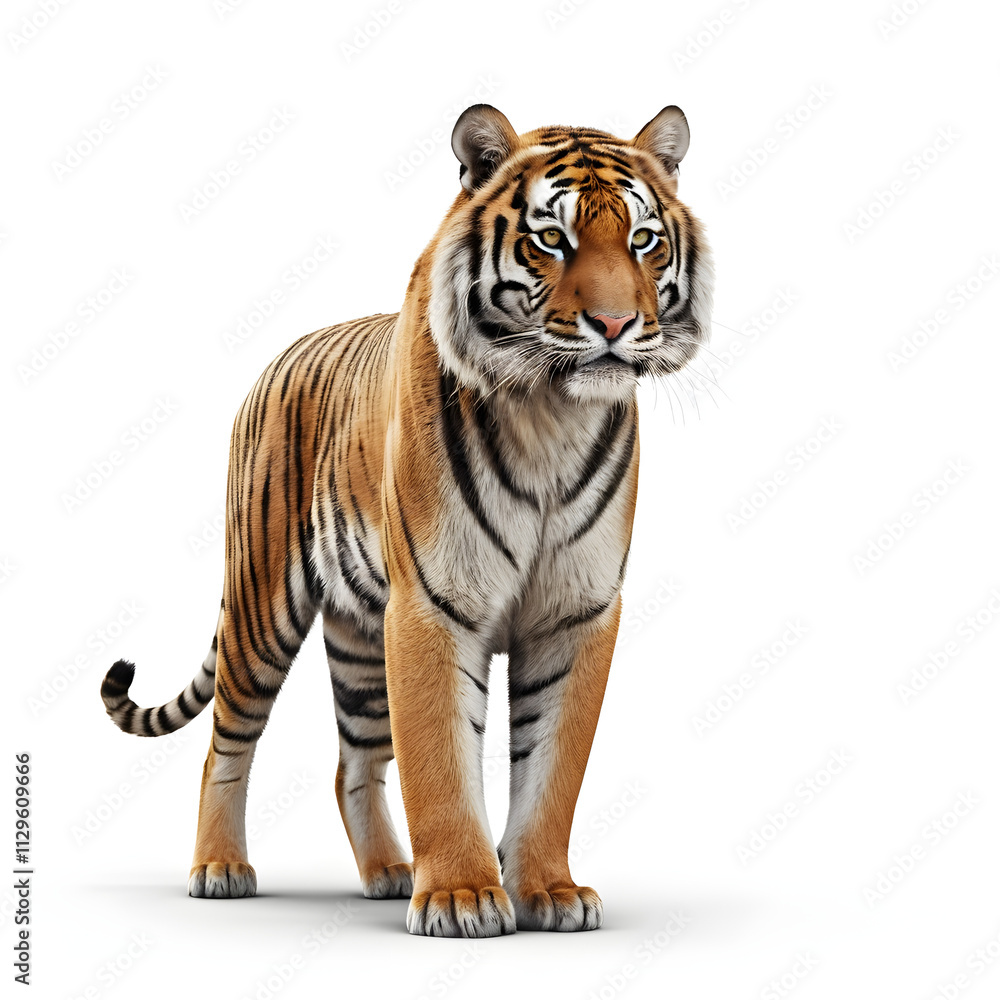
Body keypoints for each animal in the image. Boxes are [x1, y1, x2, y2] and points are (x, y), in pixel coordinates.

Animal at [101, 103, 713, 938]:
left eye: (644, 240)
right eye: (552, 239)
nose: (616, 324)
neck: (551, 414)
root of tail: (280, 357)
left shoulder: (576, 612)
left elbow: (552, 769)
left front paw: (548, 890)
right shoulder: (432, 607)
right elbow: (441, 763)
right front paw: (460, 895)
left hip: (359, 638)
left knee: (351, 763)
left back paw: (388, 873)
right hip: (261, 606)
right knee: (225, 743)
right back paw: (220, 869)